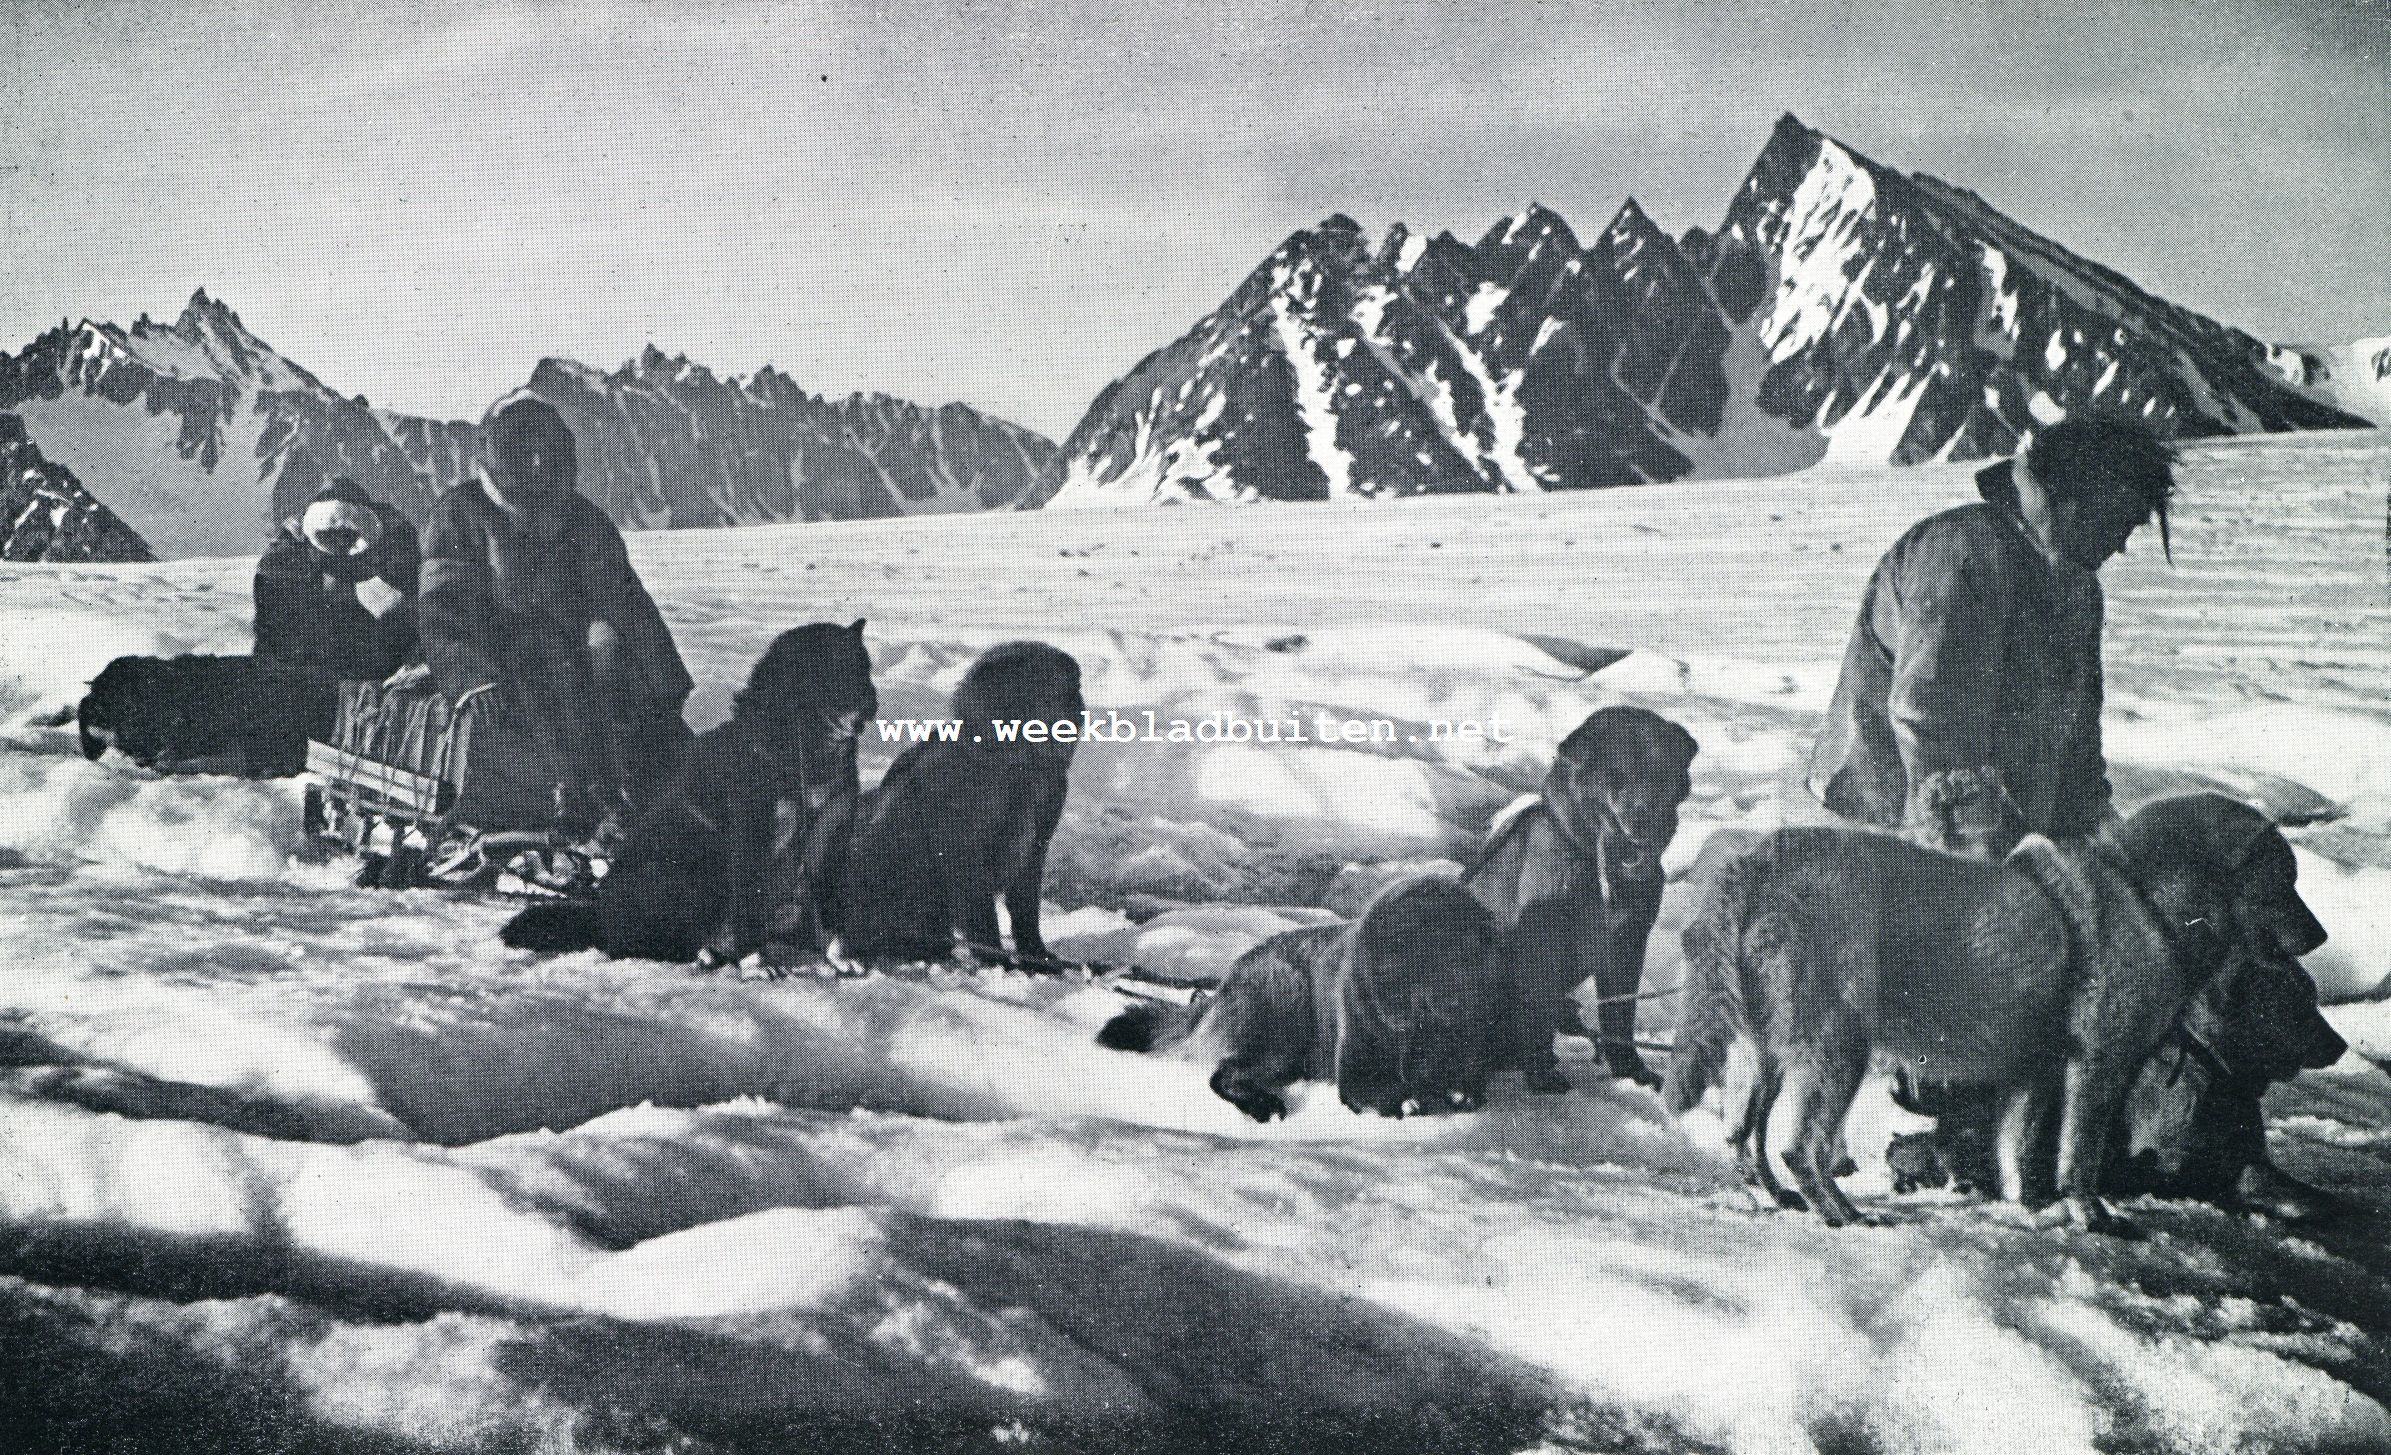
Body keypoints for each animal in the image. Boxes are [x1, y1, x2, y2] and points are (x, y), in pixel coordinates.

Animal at [499, 616, 875, 960]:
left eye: (865, 670)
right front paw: (756, 963)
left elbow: (829, 910)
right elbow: (747, 912)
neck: (804, 757)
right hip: (683, 875)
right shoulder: (750, 839)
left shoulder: (831, 838)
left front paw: (838, 957)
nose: (871, 707)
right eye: (835, 674)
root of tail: (601, 918)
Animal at [827, 640, 1080, 965]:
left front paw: (1037, 955)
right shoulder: (963, 847)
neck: (1018, 761)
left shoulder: (1039, 835)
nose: (1077, 711)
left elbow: (1025, 906)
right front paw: (997, 959)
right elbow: (978, 906)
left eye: (1073, 689)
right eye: (1056, 689)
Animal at [1095, 874, 1501, 1122]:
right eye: (1407, 964)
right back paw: (1265, 1105)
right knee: (1223, 1074)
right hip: (1286, 1016)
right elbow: (1385, 1091)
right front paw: (1414, 1099)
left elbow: (1467, 1088)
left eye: (1455, 960)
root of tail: (1224, 982)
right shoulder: (1358, 1069)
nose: (1389, 1007)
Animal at [1453, 702, 1702, 1089]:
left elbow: (1620, 1015)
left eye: (1661, 773)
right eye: (1615, 775)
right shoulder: (1540, 945)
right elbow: (1537, 1013)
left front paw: (1630, 1070)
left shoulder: (1627, 944)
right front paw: (1542, 1074)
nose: (1642, 820)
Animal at [1673, 788, 2324, 1232]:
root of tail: (1761, 862)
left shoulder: (2033, 1073)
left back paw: (1773, 1197)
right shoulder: (2097, 1068)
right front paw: (2090, 1214)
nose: (2319, 936)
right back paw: (1842, 1212)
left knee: (1742, 1134)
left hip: (1764, 1053)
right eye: (2284, 883)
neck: (2144, 896)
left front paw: (2027, 1208)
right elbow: (2080, 1153)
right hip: (1836, 1053)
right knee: (1799, 1147)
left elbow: (2019, 1150)